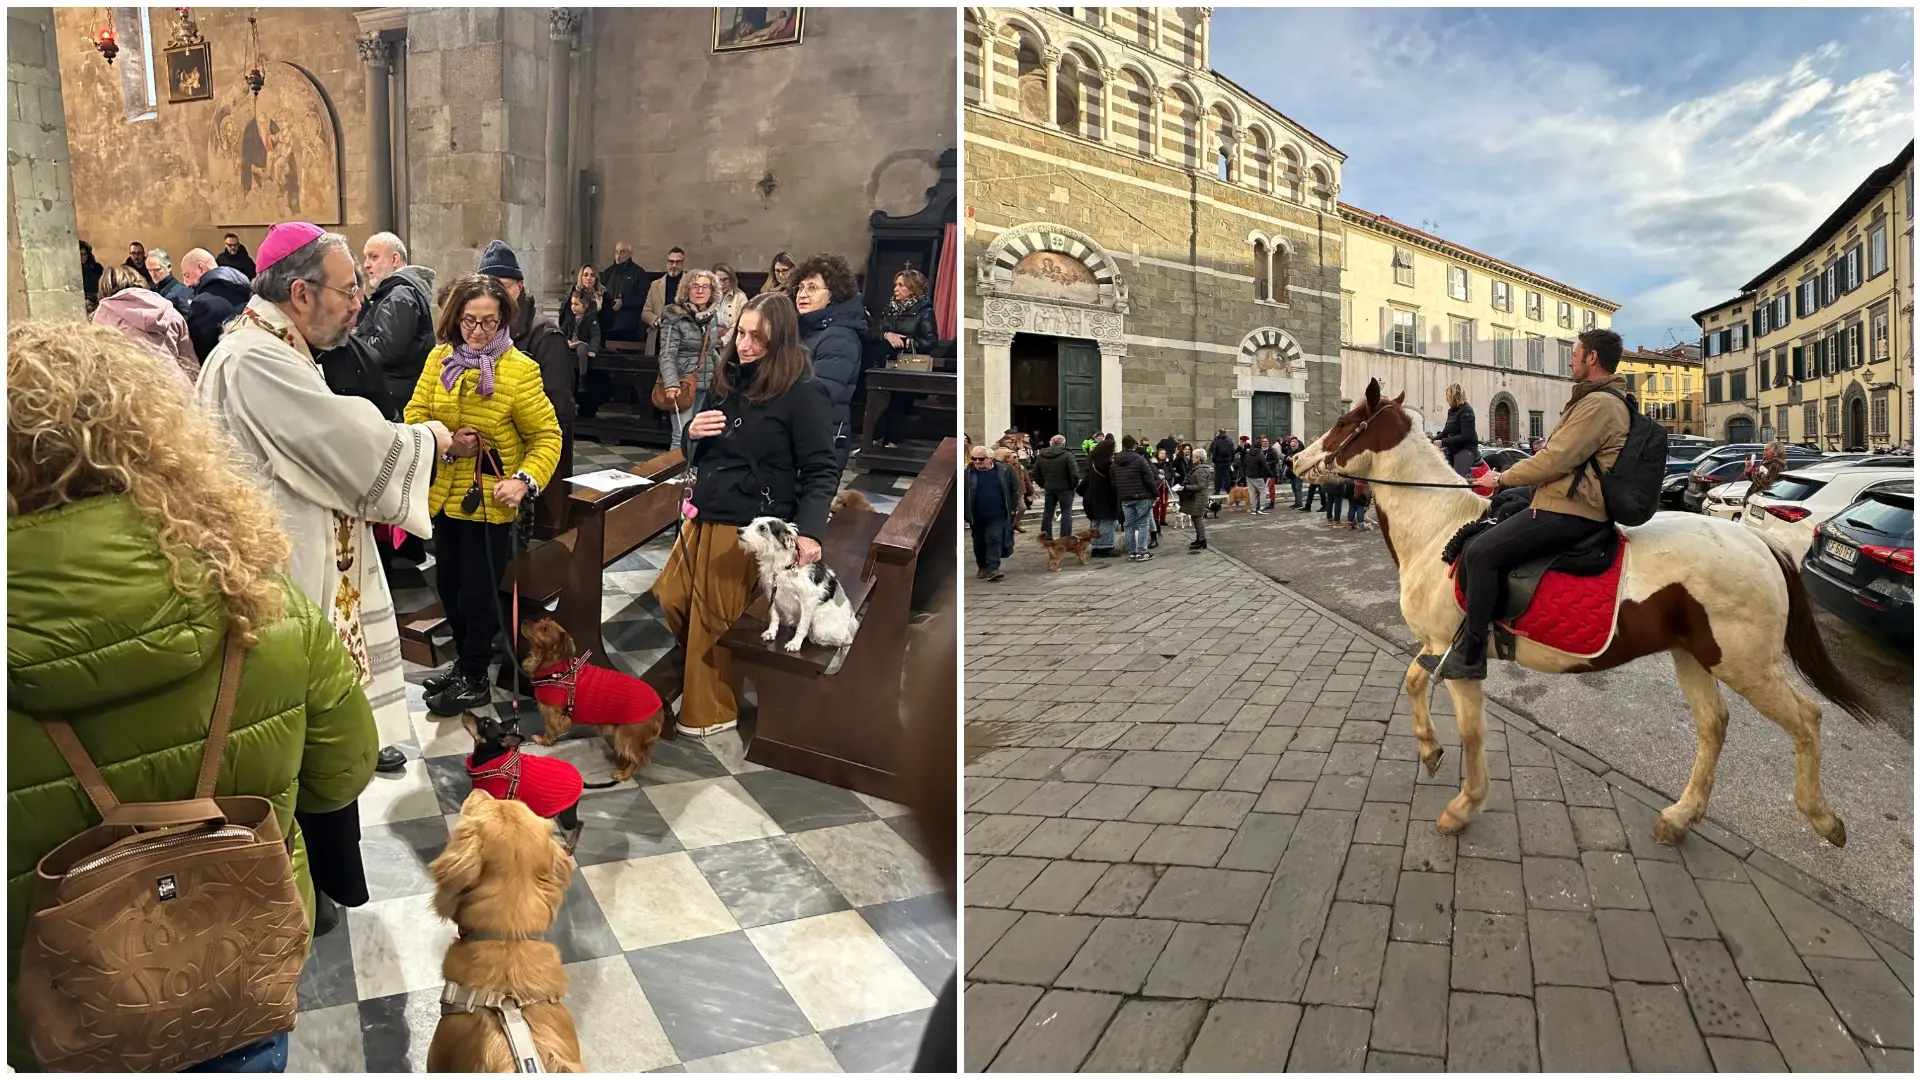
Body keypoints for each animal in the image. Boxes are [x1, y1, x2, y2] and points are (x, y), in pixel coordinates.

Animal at [737, 518, 860, 653]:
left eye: (762, 528)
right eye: (752, 522)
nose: (739, 530)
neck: (781, 567)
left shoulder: (808, 602)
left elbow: (802, 626)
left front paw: (795, 643)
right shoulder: (772, 593)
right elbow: (774, 616)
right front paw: (771, 632)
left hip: (819, 625)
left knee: (845, 639)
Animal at [1297, 382, 1881, 845]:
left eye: (1345, 422)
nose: (1298, 462)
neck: (1440, 528)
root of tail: (1759, 542)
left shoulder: (1459, 659)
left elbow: (1472, 733)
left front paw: (1464, 805)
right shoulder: (1439, 646)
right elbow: (1413, 682)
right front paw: (1428, 750)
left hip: (1746, 664)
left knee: (1806, 719)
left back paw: (1822, 818)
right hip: (1694, 656)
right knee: (1713, 725)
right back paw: (1680, 817)